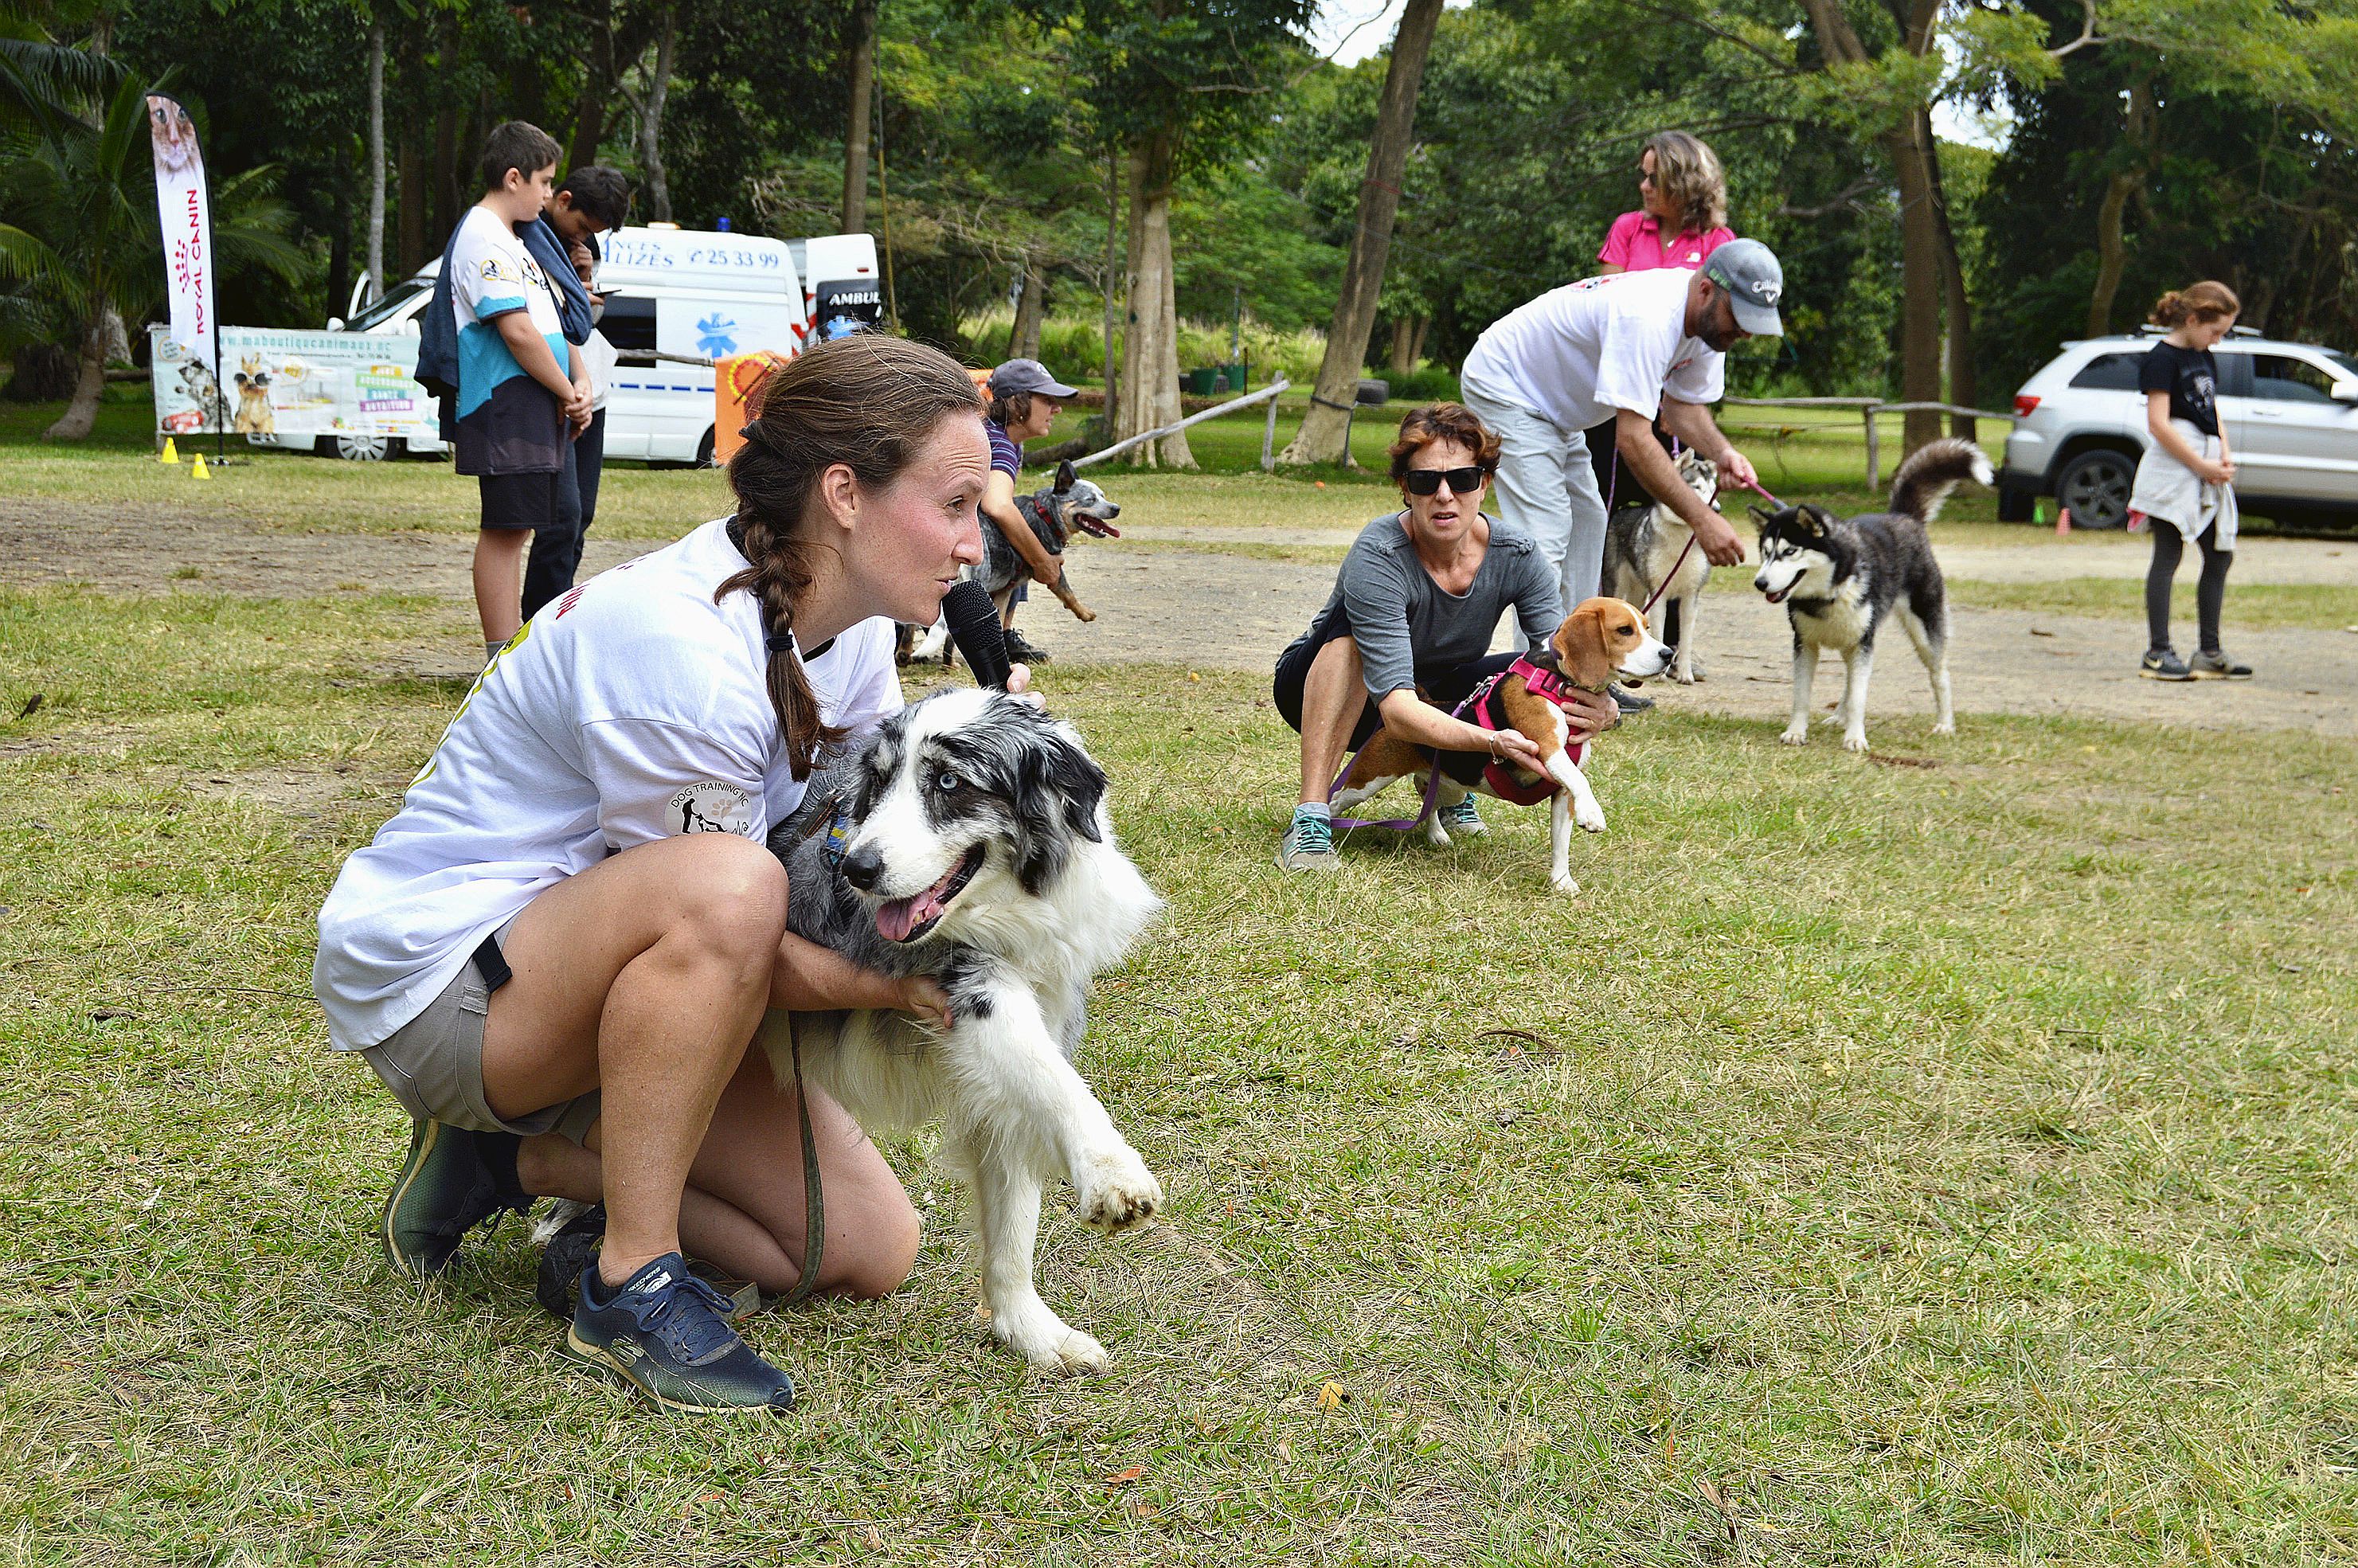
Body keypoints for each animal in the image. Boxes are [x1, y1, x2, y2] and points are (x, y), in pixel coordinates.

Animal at [754, 683, 1159, 1367]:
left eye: (948, 781)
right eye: (878, 781)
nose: (857, 868)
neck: (1011, 910)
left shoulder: (1003, 1069)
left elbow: (1014, 1221)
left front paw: (1029, 1330)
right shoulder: (972, 988)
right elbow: (1058, 1083)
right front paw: (1109, 1170)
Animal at [1603, 445, 1716, 678]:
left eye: (1713, 489)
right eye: (1697, 488)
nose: (1716, 509)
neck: (1683, 539)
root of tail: (1621, 512)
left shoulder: (1691, 596)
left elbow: (1686, 640)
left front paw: (1685, 674)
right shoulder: (1659, 593)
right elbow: (1659, 632)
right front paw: (1660, 675)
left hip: (1638, 592)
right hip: (1617, 585)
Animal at [1754, 433, 1990, 754]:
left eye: (1790, 551)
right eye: (1765, 553)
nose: (1760, 582)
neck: (1830, 593)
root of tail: (1902, 516)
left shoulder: (1863, 644)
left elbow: (1859, 697)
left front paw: (1855, 737)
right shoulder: (1805, 644)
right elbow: (1803, 696)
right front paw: (1796, 732)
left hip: (1923, 633)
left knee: (1939, 674)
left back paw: (1945, 724)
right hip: (1851, 640)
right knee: (1850, 680)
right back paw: (1839, 716)